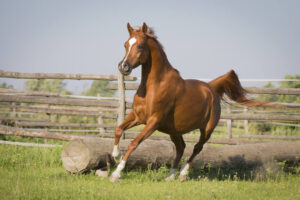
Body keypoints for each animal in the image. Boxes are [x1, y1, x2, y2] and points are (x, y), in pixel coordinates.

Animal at [110, 22, 274, 182]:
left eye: (140, 46)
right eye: (125, 44)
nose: (123, 66)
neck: (154, 86)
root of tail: (211, 88)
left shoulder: (153, 121)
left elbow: (133, 143)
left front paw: (116, 174)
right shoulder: (137, 116)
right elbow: (118, 129)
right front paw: (116, 156)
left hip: (207, 130)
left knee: (196, 148)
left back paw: (182, 174)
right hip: (174, 130)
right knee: (181, 148)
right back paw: (169, 176)